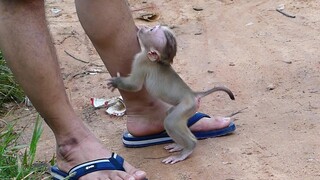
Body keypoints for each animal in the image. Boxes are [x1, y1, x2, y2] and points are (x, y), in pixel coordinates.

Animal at [108, 25, 235, 165]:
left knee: (171, 122)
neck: (155, 61)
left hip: (187, 105)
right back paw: (180, 145)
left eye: (151, 30)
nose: (143, 27)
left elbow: (135, 85)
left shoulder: (140, 60)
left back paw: (187, 149)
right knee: (171, 115)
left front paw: (116, 82)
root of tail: (193, 94)